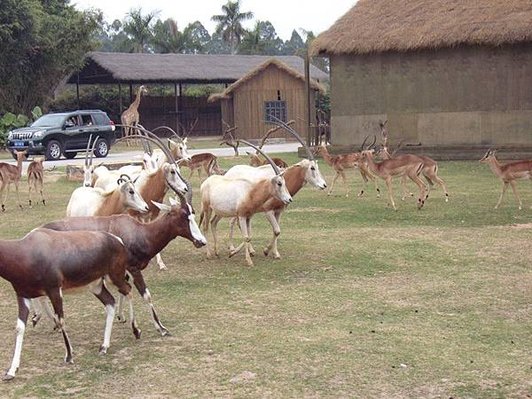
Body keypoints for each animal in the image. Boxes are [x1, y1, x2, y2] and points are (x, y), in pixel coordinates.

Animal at [0, 228, 132, 382]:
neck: (27, 250)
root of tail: (118, 240)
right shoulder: (23, 295)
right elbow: (20, 328)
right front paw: (11, 371)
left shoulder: (54, 290)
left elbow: (61, 320)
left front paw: (69, 356)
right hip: (96, 285)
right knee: (110, 302)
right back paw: (104, 346)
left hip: (114, 277)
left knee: (128, 290)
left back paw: (136, 331)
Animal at [41, 192, 207, 340]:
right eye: (184, 216)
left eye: (193, 213)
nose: (202, 241)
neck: (139, 232)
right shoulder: (133, 268)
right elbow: (145, 294)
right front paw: (160, 328)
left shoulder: (123, 271)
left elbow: (124, 291)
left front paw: (122, 317)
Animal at [200, 139, 294, 268]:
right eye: (279, 183)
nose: (289, 199)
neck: (251, 191)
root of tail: (206, 182)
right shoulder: (242, 216)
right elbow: (246, 237)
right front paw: (249, 261)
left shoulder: (248, 216)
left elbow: (249, 236)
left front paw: (233, 253)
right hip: (207, 208)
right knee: (205, 226)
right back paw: (209, 254)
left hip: (220, 212)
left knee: (213, 223)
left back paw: (217, 252)